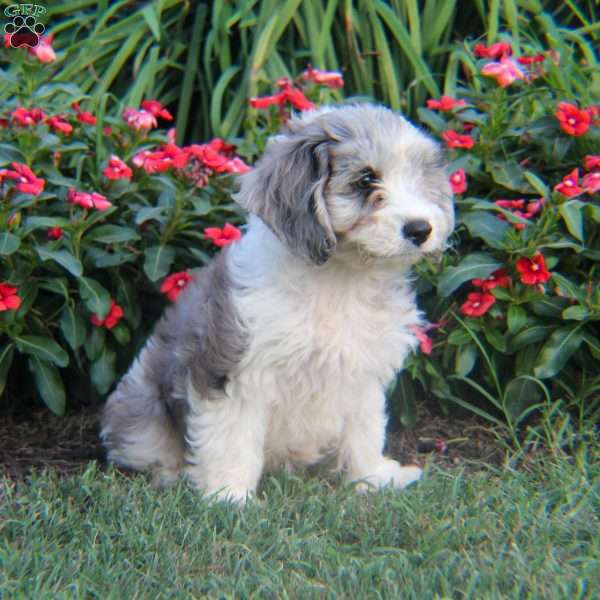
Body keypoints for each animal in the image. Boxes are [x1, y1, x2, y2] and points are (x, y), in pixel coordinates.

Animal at [99, 103, 454, 502]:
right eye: (366, 180)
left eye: (419, 178)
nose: (421, 229)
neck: (339, 279)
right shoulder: (235, 369)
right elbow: (232, 436)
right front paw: (228, 496)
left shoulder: (362, 372)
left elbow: (365, 430)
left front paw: (373, 478)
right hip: (141, 405)